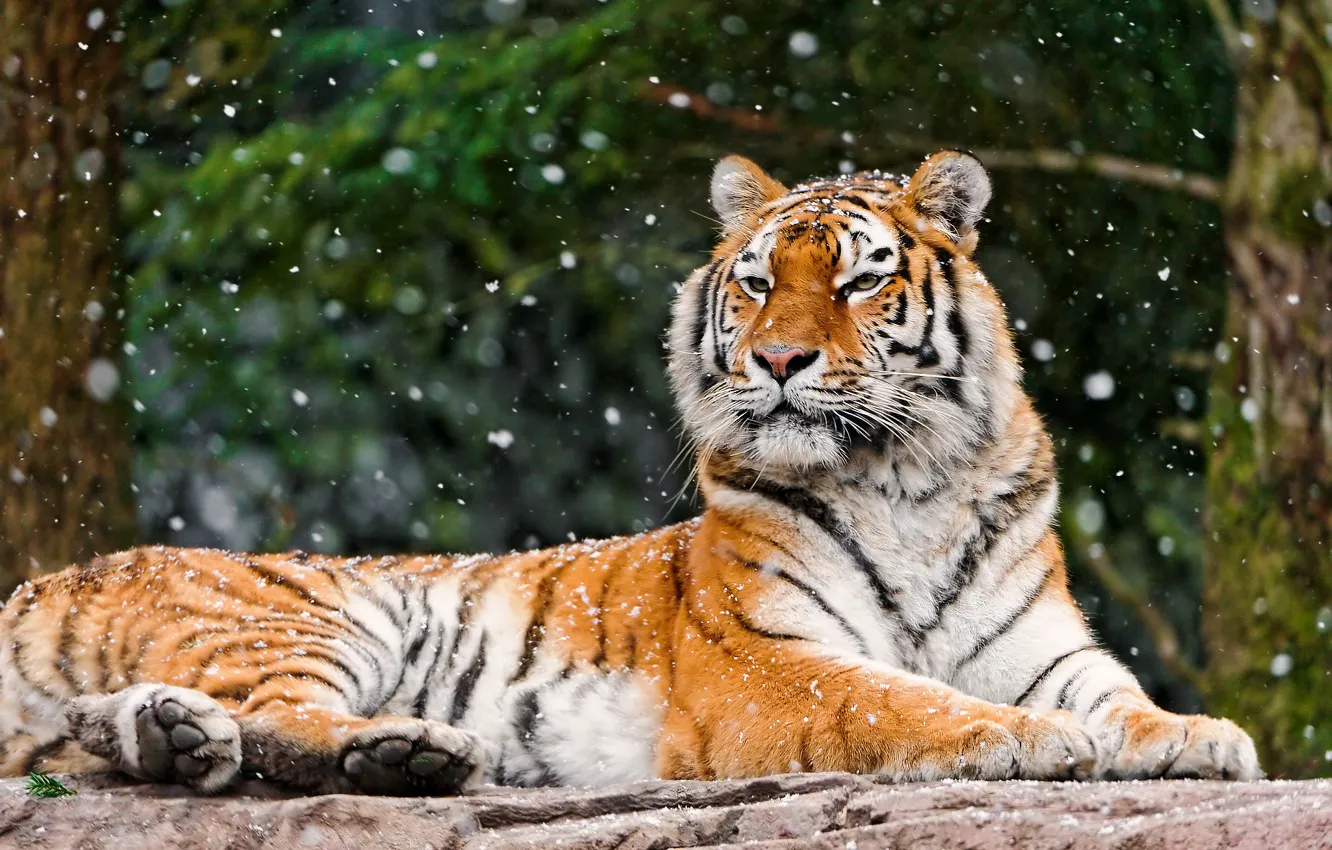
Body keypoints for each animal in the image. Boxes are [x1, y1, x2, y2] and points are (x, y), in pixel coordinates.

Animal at [0, 151, 1260, 796]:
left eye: (858, 282)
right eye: (757, 281)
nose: (780, 359)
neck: (908, 478)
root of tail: (45, 579)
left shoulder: (1044, 643)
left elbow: (1116, 692)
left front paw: (1197, 733)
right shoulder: (765, 660)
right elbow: (898, 696)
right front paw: (1024, 738)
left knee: (148, 728)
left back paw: (189, 739)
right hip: (307, 614)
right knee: (273, 720)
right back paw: (402, 749)